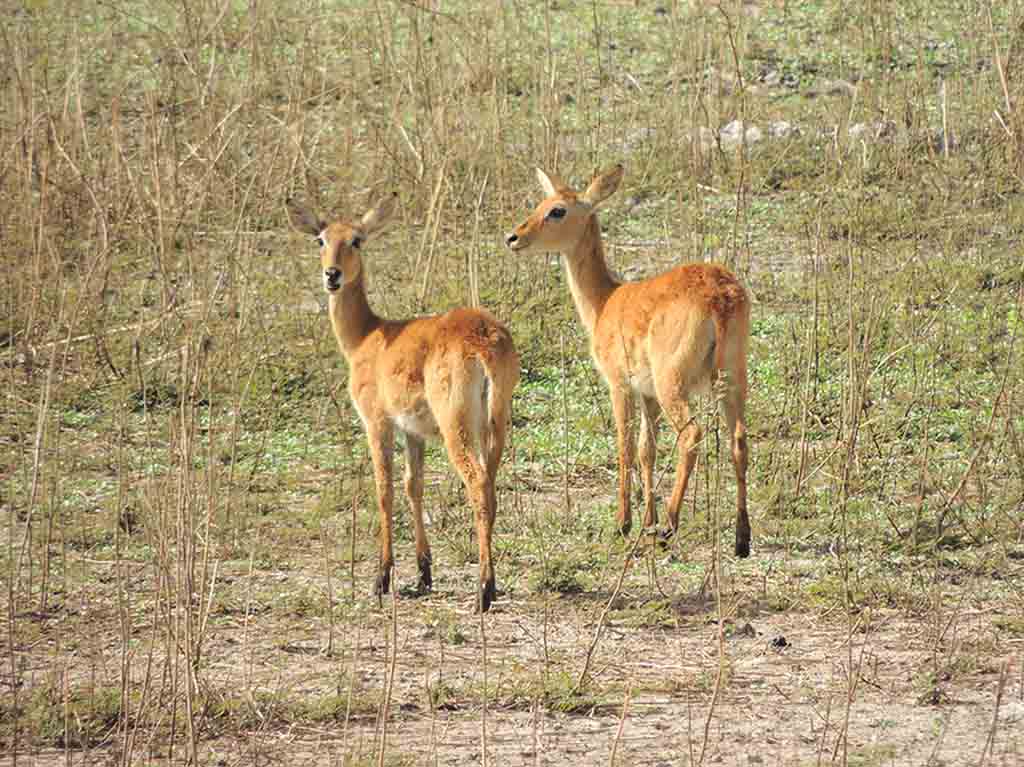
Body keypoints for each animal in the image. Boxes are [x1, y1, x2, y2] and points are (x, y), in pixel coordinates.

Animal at [290, 192, 520, 610]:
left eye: (357, 240)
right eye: (320, 239)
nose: (332, 274)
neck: (368, 337)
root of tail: (486, 338)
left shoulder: (378, 423)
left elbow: (385, 489)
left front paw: (381, 579)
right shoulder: (413, 431)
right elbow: (415, 485)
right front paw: (423, 573)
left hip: (456, 425)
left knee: (477, 484)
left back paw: (484, 591)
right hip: (495, 422)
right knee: (492, 486)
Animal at [505, 162, 753, 557]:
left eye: (557, 210)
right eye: (540, 202)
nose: (513, 237)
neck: (605, 301)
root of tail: (720, 296)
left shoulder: (619, 385)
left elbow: (623, 446)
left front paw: (624, 523)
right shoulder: (647, 394)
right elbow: (646, 450)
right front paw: (645, 519)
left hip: (674, 384)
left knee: (692, 434)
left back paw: (669, 527)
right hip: (731, 377)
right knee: (739, 441)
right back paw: (741, 539)